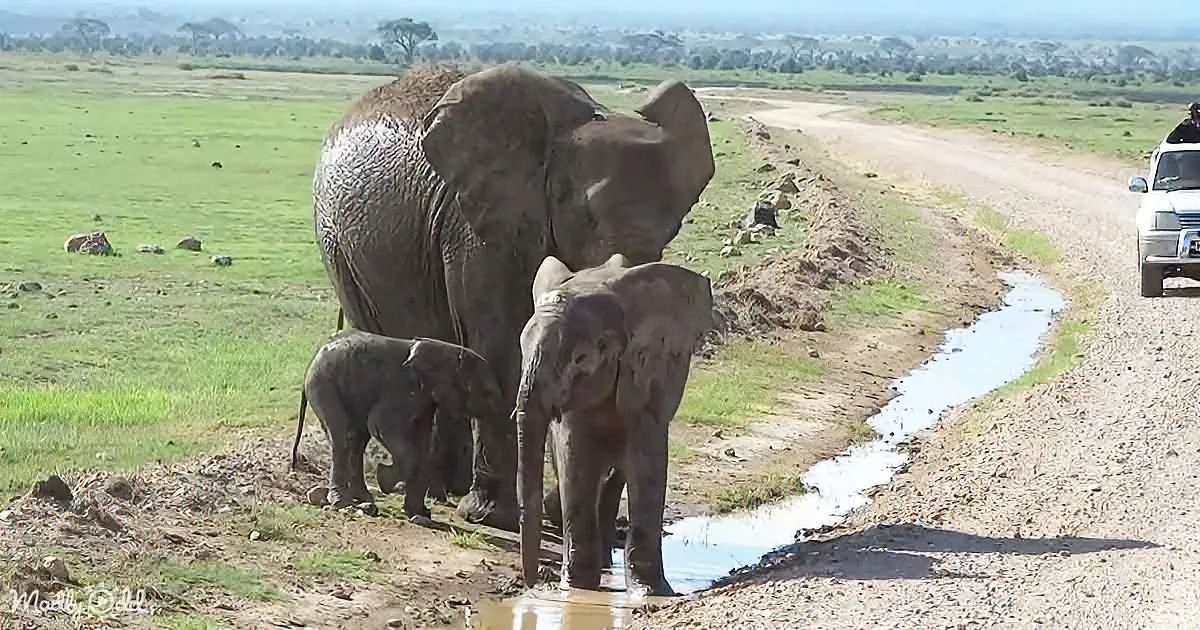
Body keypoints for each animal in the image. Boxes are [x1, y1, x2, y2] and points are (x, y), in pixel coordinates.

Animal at [297, 329, 507, 519]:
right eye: (487, 393)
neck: (445, 350)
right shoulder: (401, 389)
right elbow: (381, 426)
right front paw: (385, 479)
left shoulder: (425, 400)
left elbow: (423, 445)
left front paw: (420, 513)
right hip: (323, 383)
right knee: (344, 436)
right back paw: (343, 502)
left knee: (358, 440)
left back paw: (364, 499)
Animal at [515, 254, 715, 596]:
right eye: (521, 348)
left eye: (581, 359)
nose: (534, 581)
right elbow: (575, 458)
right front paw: (577, 589)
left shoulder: (650, 376)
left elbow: (646, 461)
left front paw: (649, 593)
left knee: (617, 471)